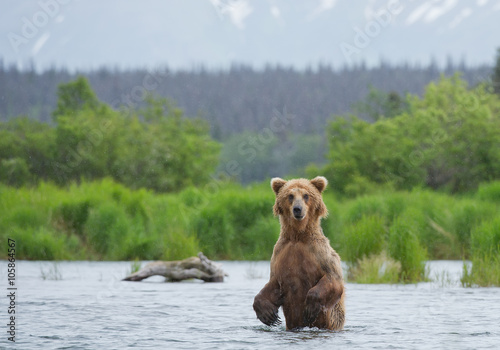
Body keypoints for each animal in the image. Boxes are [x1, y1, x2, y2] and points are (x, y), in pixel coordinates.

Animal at [254, 178, 344, 330]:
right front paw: (268, 315)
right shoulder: (280, 255)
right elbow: (273, 285)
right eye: (290, 196)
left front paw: (310, 308)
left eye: (306, 195)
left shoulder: (320, 253)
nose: (298, 209)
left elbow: (333, 279)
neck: (298, 236)